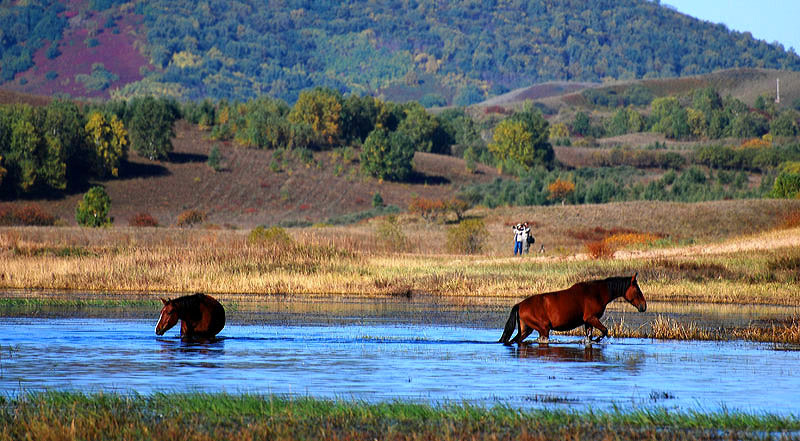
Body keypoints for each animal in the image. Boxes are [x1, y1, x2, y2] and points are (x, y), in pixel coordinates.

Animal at [496, 274, 648, 346]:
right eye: (637, 290)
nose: (643, 306)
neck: (598, 293)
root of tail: (520, 305)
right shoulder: (591, 318)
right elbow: (604, 331)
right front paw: (598, 339)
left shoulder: (588, 322)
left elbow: (590, 336)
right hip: (543, 329)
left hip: (526, 329)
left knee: (515, 340)